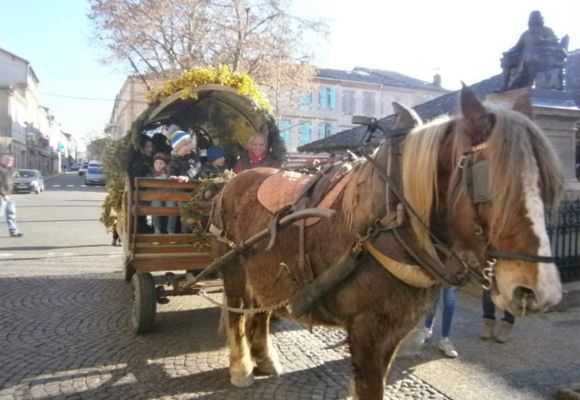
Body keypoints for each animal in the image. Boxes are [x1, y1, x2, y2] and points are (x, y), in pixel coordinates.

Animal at [211, 86, 564, 398]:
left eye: (547, 184)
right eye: (486, 182)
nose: (540, 291)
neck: (391, 218)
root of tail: (234, 180)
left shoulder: (394, 329)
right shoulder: (366, 330)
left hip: (266, 273)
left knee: (260, 311)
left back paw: (265, 359)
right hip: (234, 269)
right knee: (237, 315)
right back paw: (241, 369)